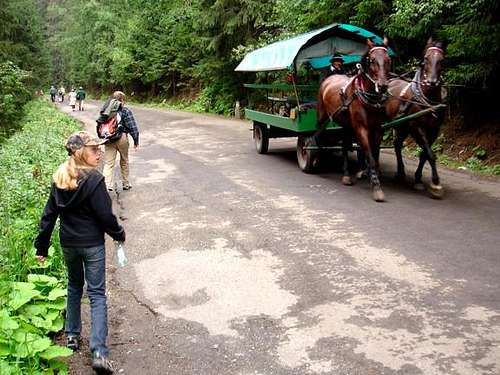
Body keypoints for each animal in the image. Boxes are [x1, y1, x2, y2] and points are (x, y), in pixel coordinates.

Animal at [316, 38, 390, 203]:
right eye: (372, 60)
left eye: (388, 60)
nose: (382, 86)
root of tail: (328, 79)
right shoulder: (361, 128)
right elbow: (369, 155)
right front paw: (377, 187)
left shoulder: (378, 129)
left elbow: (375, 156)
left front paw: (370, 175)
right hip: (322, 115)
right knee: (316, 136)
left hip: (346, 125)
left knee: (344, 146)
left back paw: (346, 175)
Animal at [384, 37, 448, 198]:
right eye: (426, 59)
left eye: (441, 60)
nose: (432, 81)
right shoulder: (417, 128)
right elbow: (430, 154)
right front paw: (436, 183)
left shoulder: (434, 130)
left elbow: (424, 154)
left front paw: (418, 179)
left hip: (402, 126)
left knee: (397, 145)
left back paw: (400, 172)